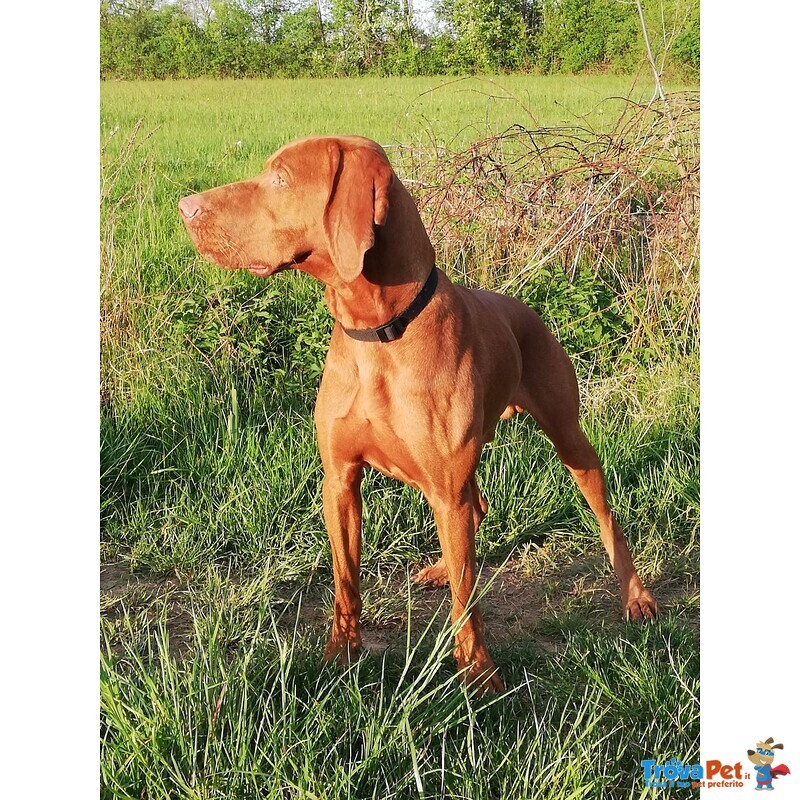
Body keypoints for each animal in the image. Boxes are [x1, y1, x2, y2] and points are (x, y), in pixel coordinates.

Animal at [177, 134, 656, 692]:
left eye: (281, 178)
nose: (185, 207)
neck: (379, 332)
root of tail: (524, 308)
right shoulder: (340, 480)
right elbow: (346, 582)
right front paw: (340, 657)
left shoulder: (445, 487)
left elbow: (467, 603)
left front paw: (479, 677)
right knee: (477, 509)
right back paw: (440, 569)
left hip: (568, 437)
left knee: (603, 516)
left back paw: (636, 596)